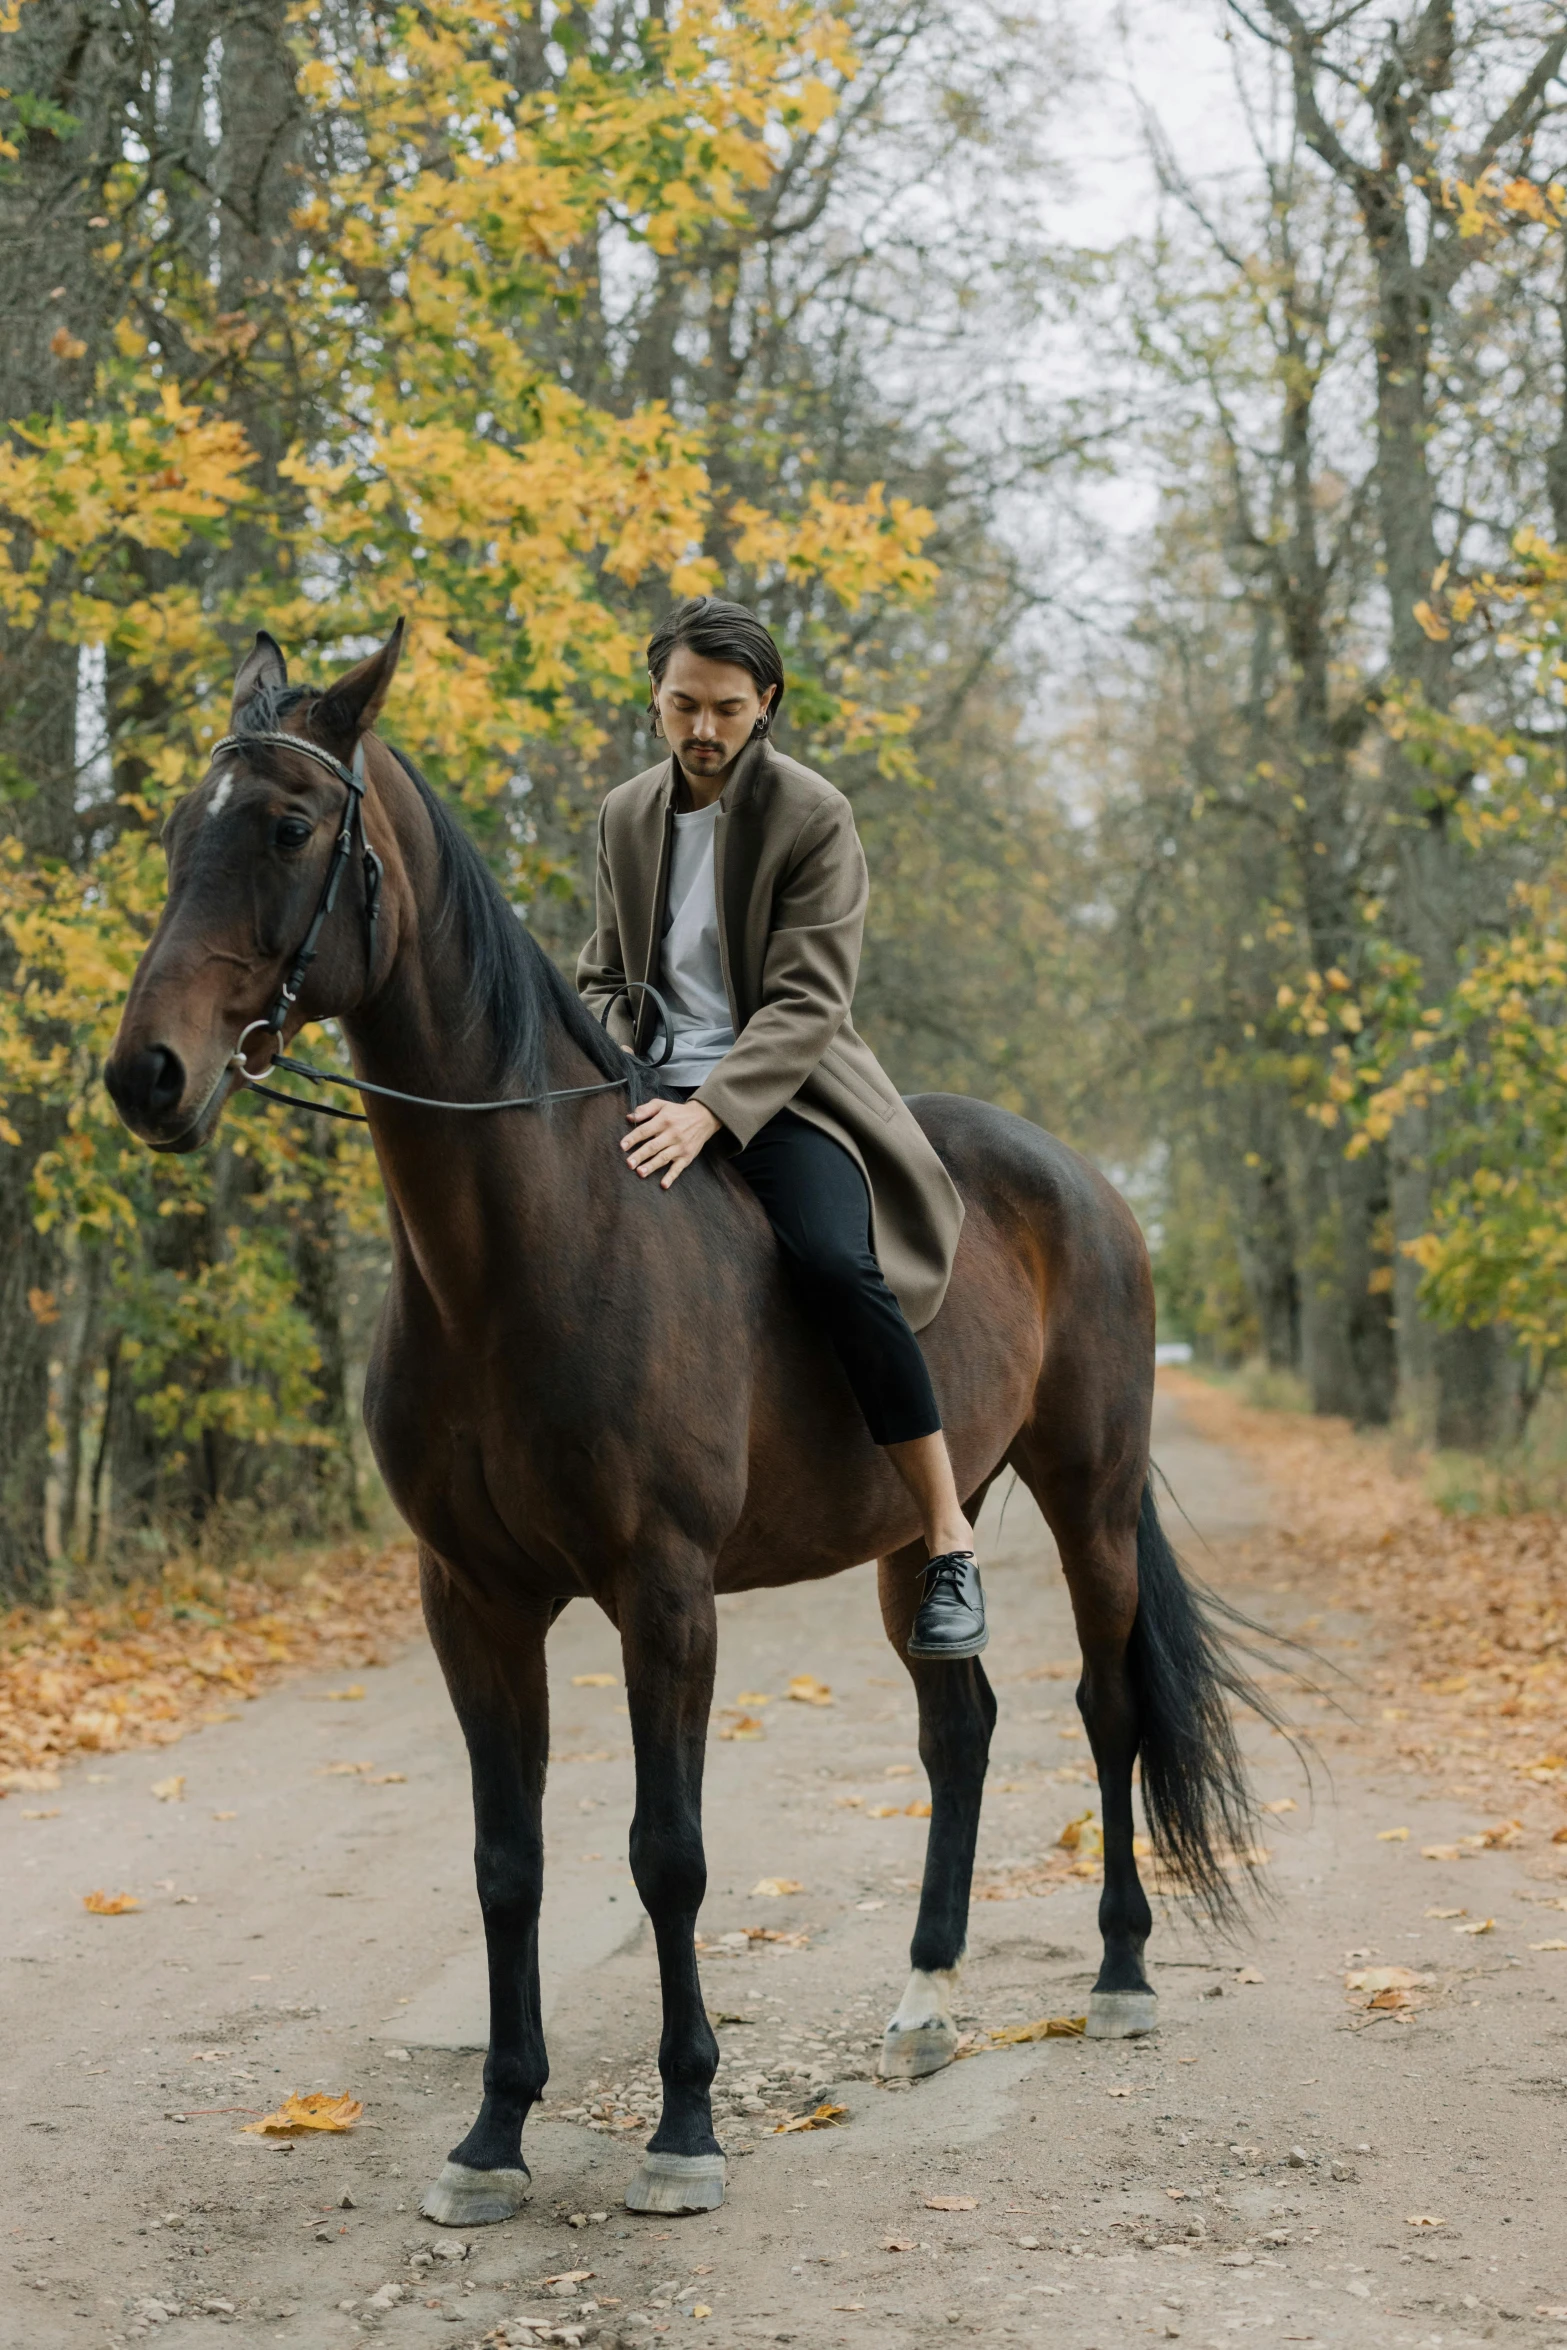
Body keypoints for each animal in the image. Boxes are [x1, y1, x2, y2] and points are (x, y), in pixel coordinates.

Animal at [103, 625, 1259, 2218]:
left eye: (285, 828)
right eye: (172, 832)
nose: (145, 1076)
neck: (522, 1248)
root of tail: (1081, 1178)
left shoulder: (664, 1592)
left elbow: (668, 1853)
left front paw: (683, 2124)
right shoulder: (470, 1598)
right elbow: (506, 1859)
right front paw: (493, 2131)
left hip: (1087, 1495)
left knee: (1107, 1706)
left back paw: (1120, 1974)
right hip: (921, 1528)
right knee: (957, 1726)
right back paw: (924, 2002)